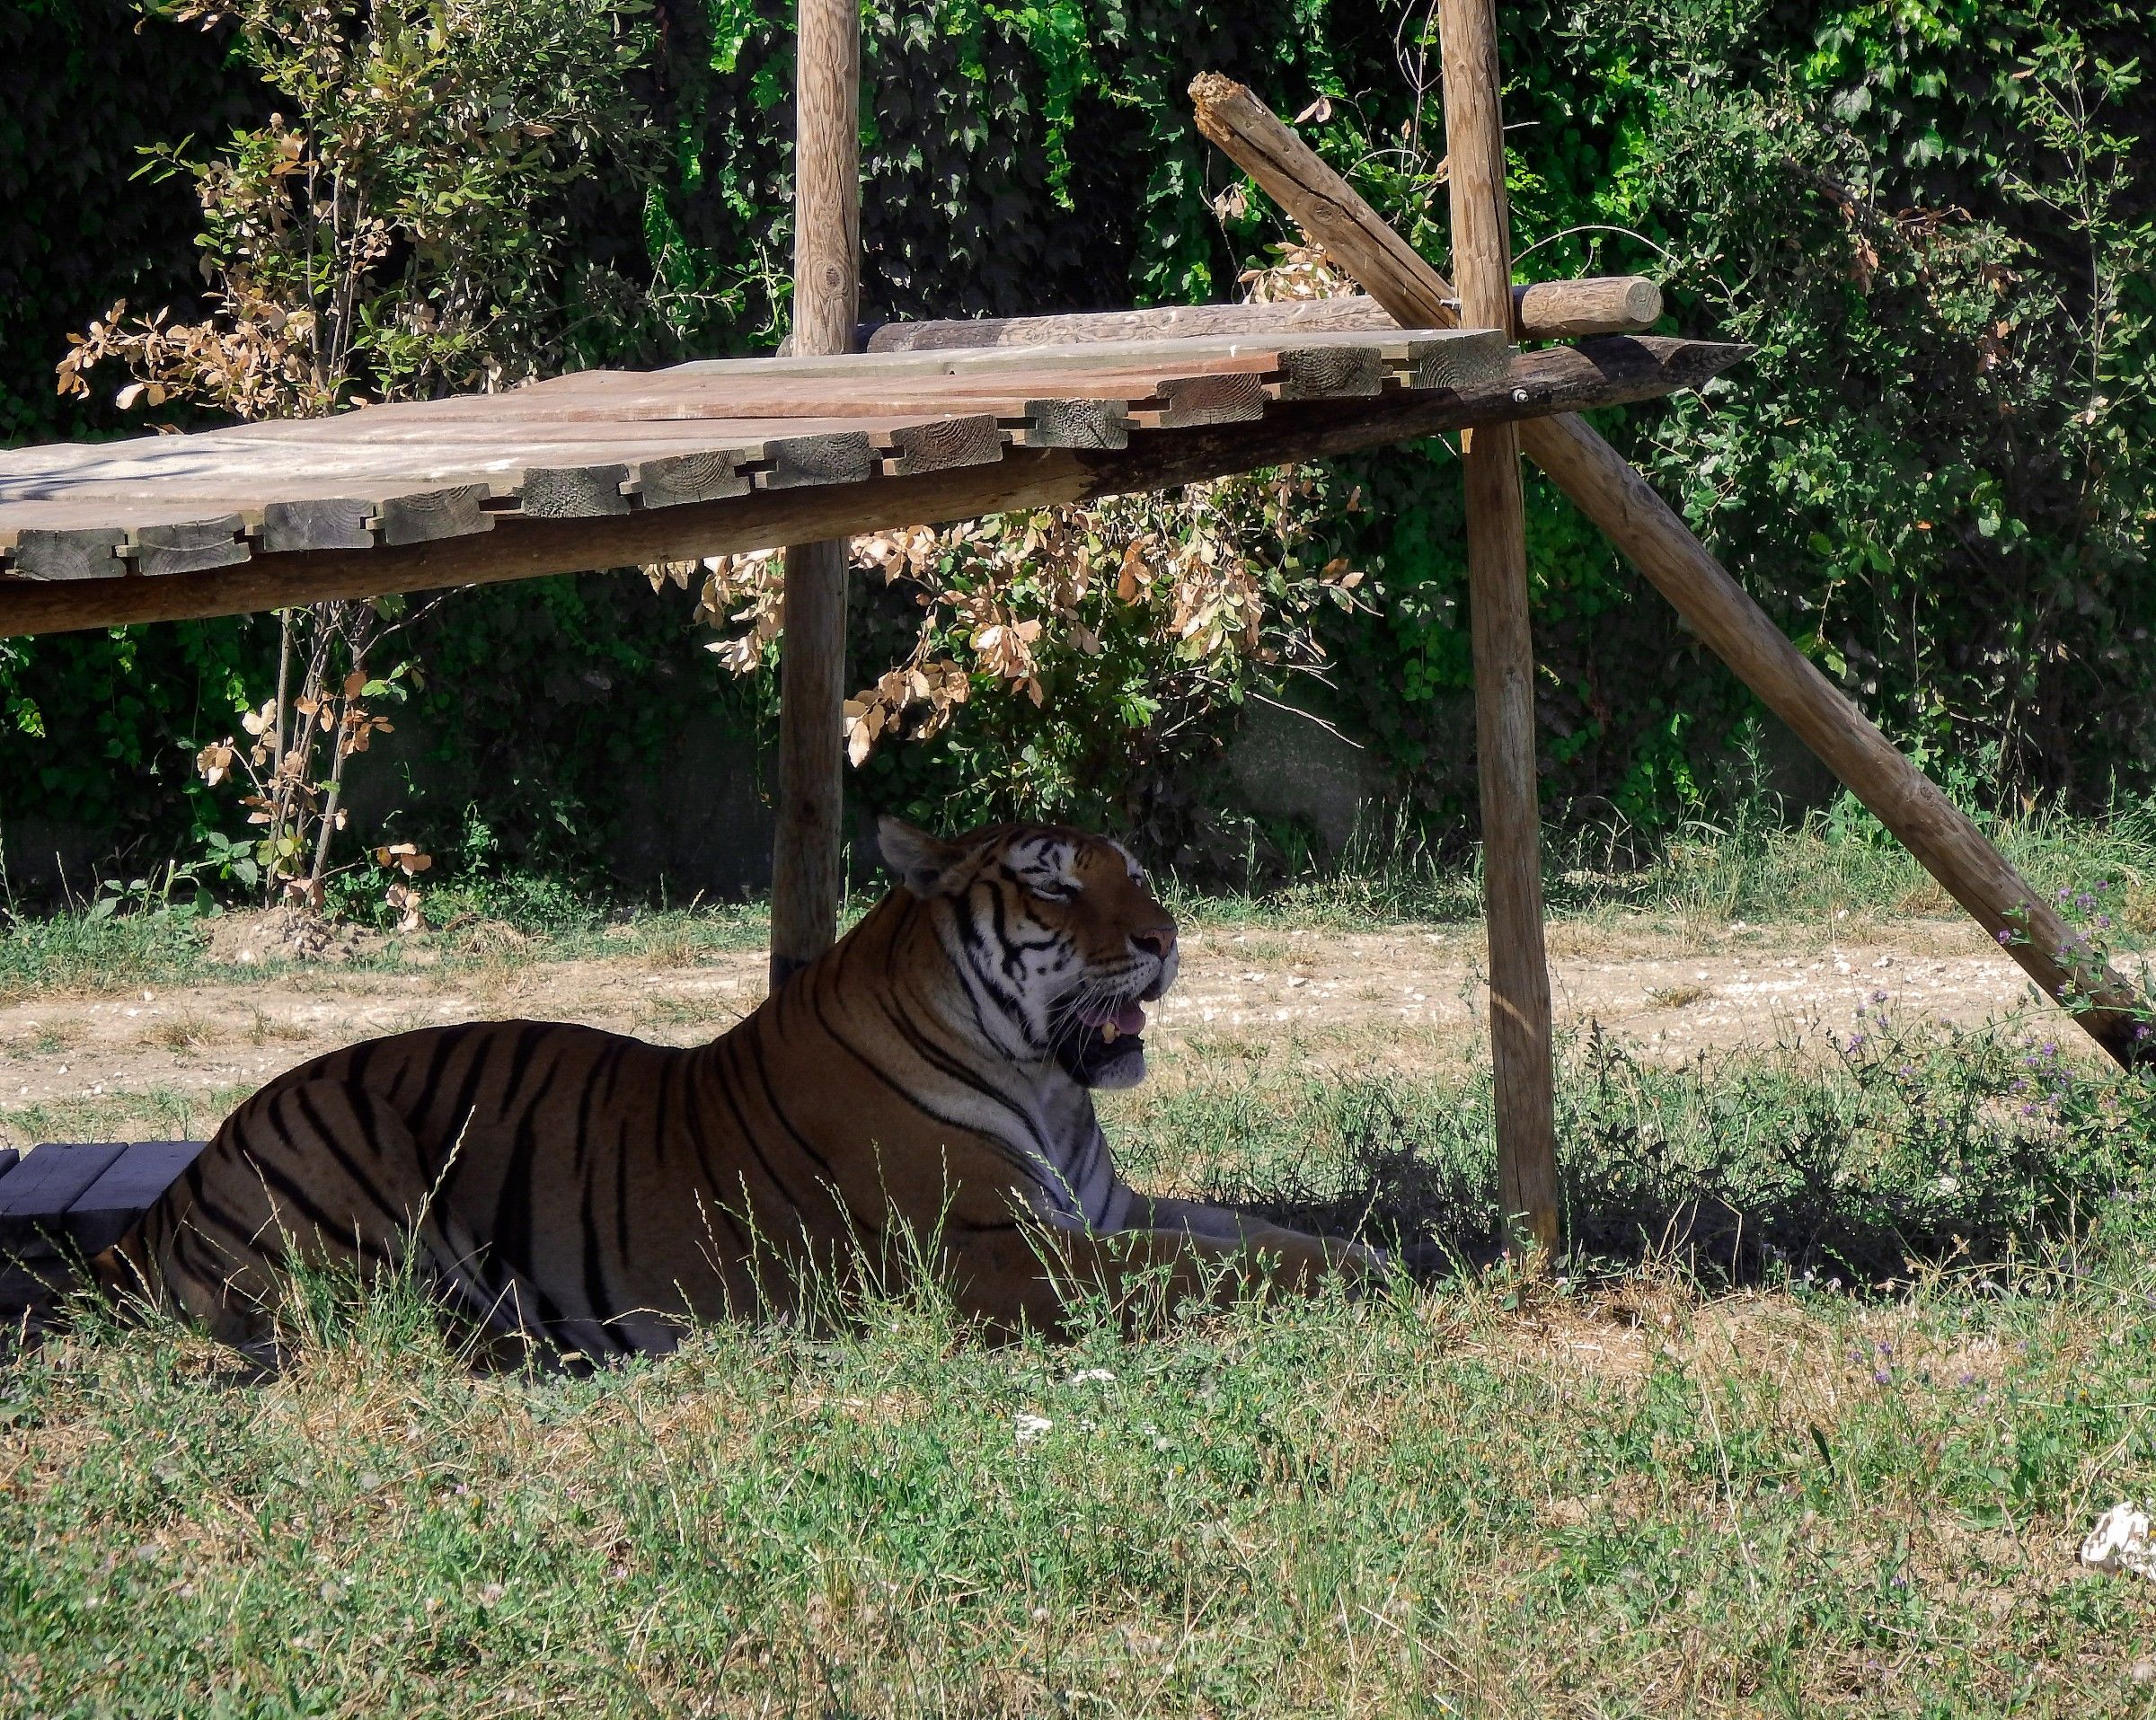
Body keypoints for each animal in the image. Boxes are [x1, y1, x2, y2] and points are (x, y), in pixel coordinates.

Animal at [96, 818, 1384, 1363]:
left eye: (1139, 873)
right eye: (1058, 888)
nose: (1168, 938)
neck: (1048, 1084)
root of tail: (176, 1187)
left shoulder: (1104, 1210)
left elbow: (1242, 1228)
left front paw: (1366, 1251)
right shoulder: (991, 1252)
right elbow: (1204, 1264)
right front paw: (1369, 1278)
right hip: (360, 1168)